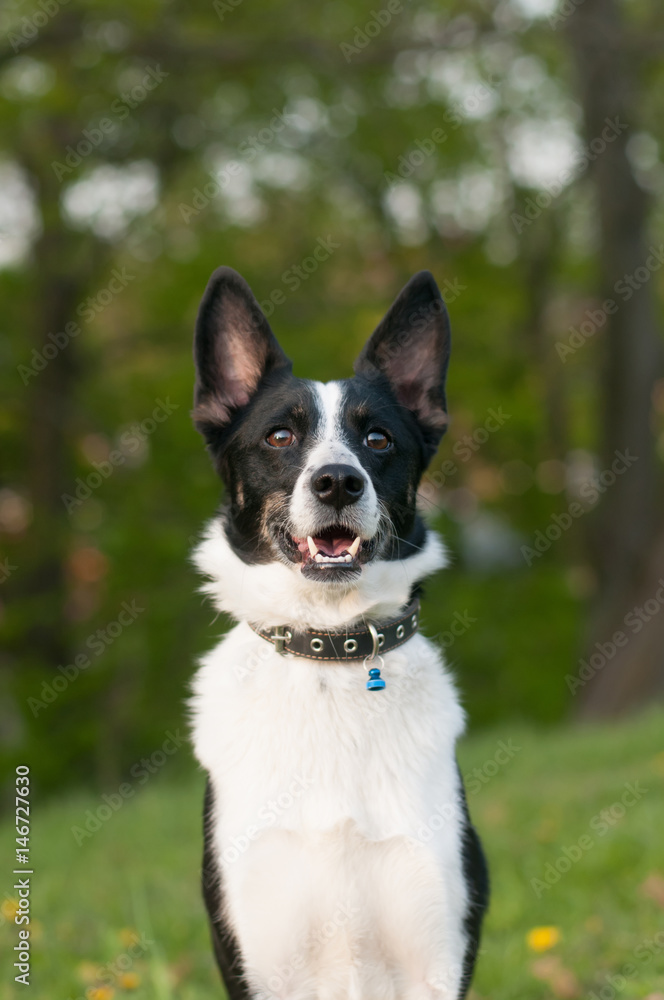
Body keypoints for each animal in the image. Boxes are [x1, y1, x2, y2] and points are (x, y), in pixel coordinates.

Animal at [187, 268, 488, 1000]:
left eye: (377, 440)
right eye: (278, 437)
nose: (337, 482)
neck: (330, 657)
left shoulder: (436, 958)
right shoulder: (258, 958)